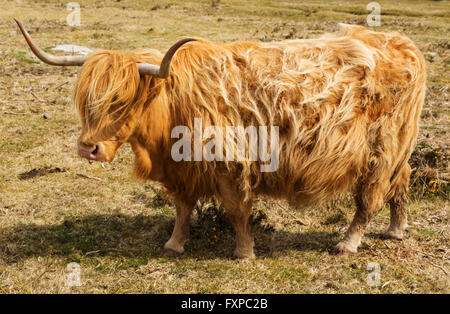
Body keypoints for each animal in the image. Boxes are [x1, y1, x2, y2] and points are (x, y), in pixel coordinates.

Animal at [15, 20, 428, 260]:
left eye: (122, 100)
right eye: (88, 102)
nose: (88, 148)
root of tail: (400, 41)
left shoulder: (231, 165)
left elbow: (236, 211)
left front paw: (244, 252)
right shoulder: (181, 170)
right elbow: (182, 208)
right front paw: (175, 243)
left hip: (381, 151)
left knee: (369, 199)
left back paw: (347, 243)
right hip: (399, 150)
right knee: (403, 181)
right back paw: (396, 230)